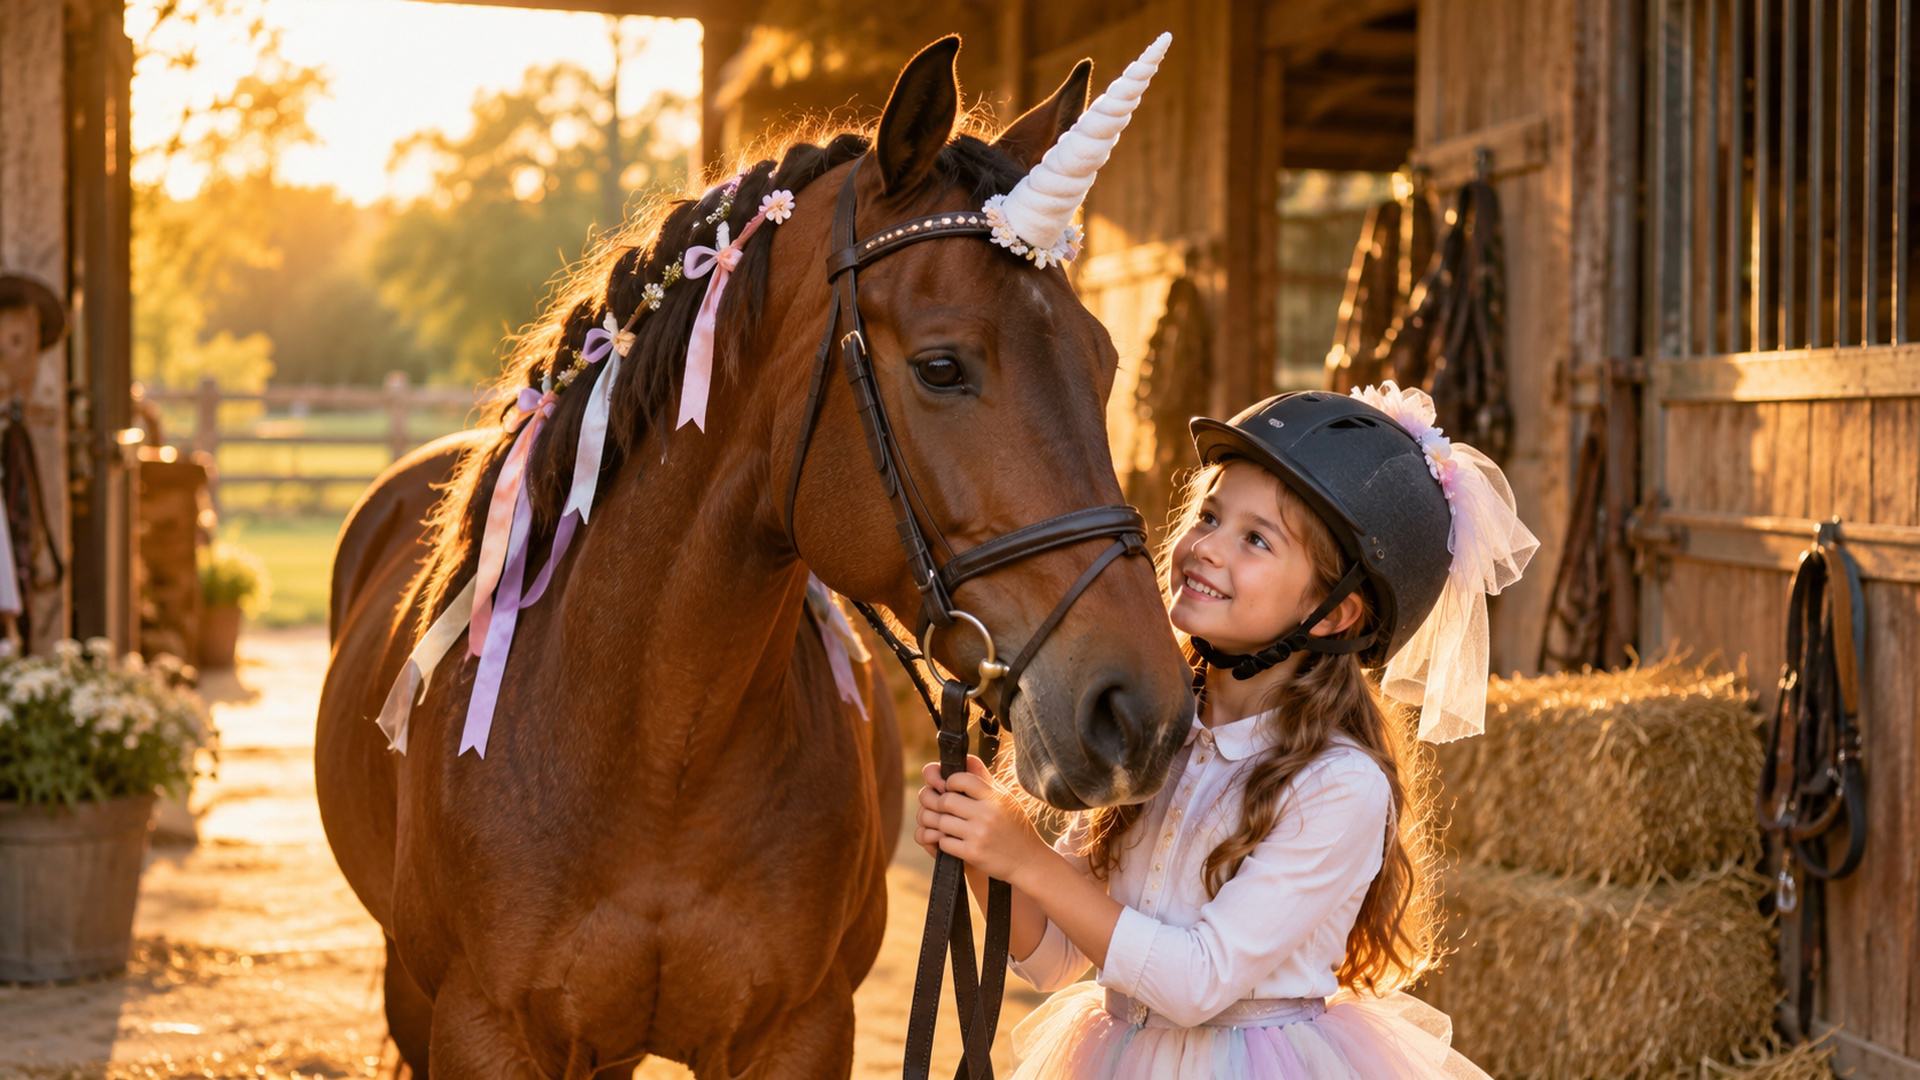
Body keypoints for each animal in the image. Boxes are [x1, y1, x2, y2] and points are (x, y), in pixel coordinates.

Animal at [316, 37, 1194, 1078]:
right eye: (942, 367)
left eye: (1106, 363)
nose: (1142, 714)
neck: (657, 756)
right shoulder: (478, 1030)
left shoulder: (801, 1031)